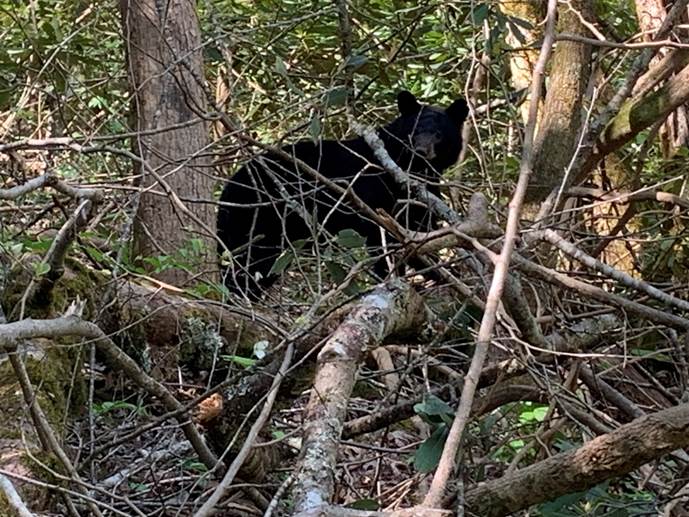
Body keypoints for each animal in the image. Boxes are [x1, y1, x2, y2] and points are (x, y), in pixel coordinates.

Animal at [217, 91, 469, 296]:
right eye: (413, 130)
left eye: (439, 134)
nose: (421, 151)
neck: (410, 169)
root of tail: (227, 190)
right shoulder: (375, 198)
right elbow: (382, 240)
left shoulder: (421, 201)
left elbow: (420, 234)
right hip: (257, 220)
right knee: (247, 264)